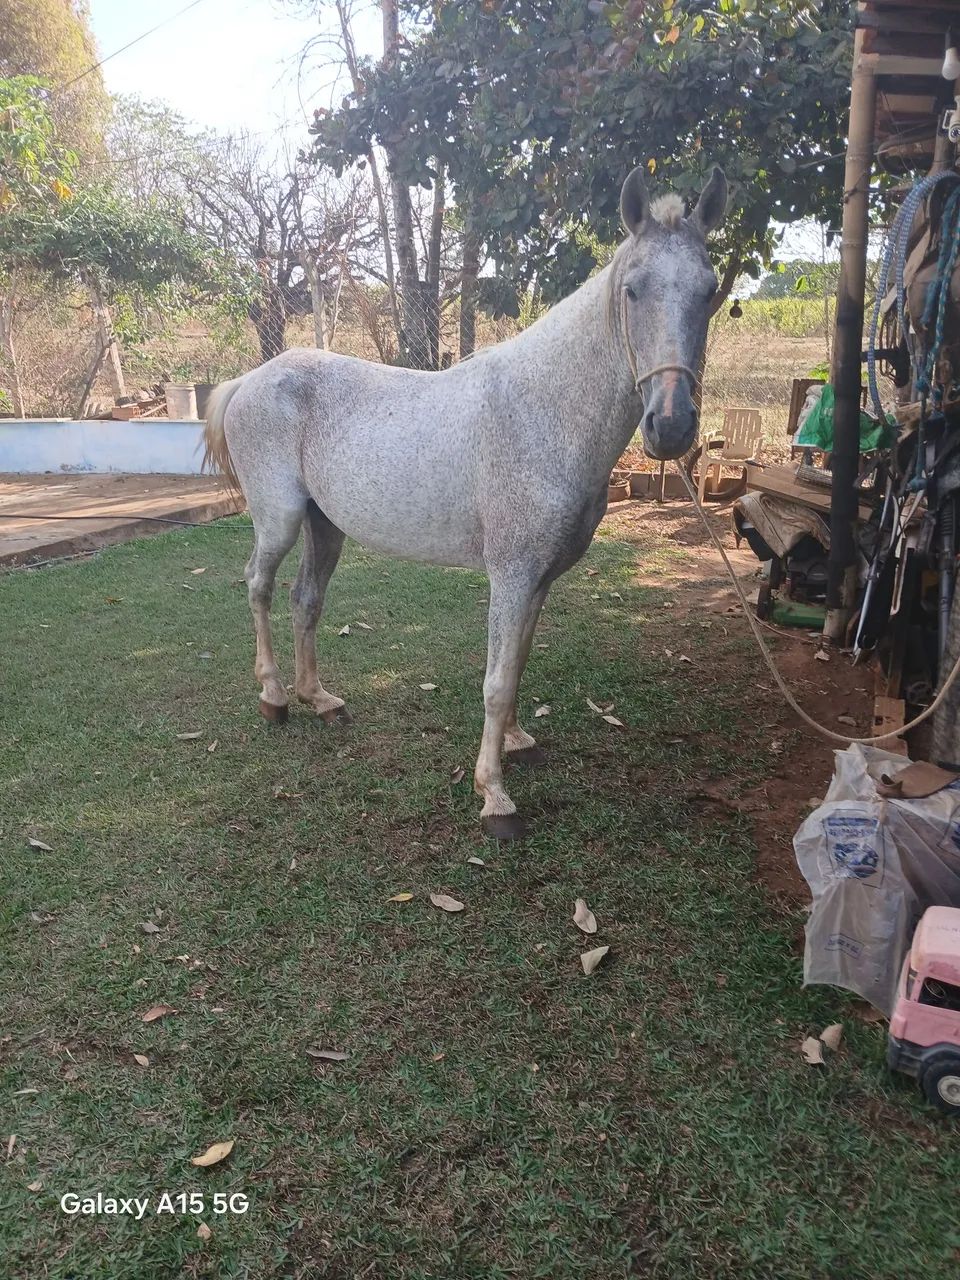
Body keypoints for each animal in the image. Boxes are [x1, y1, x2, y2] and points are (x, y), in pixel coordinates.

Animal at [203, 165, 728, 838]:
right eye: (633, 291)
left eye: (710, 291)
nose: (672, 425)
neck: (543, 411)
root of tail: (253, 379)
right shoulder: (512, 574)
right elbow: (497, 681)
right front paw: (494, 796)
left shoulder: (538, 579)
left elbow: (518, 663)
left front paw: (517, 743)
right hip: (281, 521)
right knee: (259, 588)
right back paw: (273, 698)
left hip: (326, 527)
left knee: (305, 601)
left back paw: (318, 700)